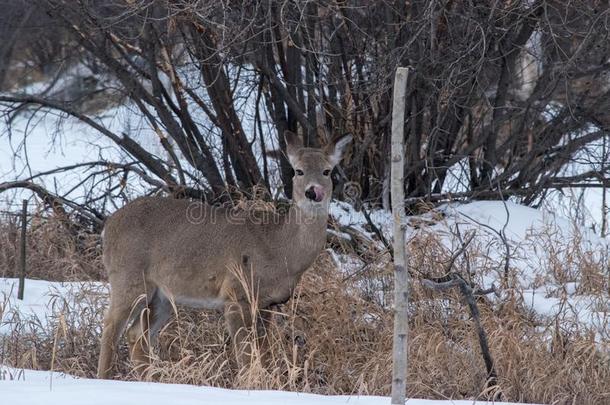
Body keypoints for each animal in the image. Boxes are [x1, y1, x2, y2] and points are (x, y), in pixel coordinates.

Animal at [96, 130, 352, 378]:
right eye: (298, 171)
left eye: (327, 171)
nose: (313, 192)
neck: (281, 249)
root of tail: (108, 225)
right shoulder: (235, 293)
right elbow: (246, 356)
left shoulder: (268, 304)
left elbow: (264, 354)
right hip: (128, 277)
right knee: (110, 328)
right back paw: (105, 378)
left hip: (162, 295)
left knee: (136, 335)